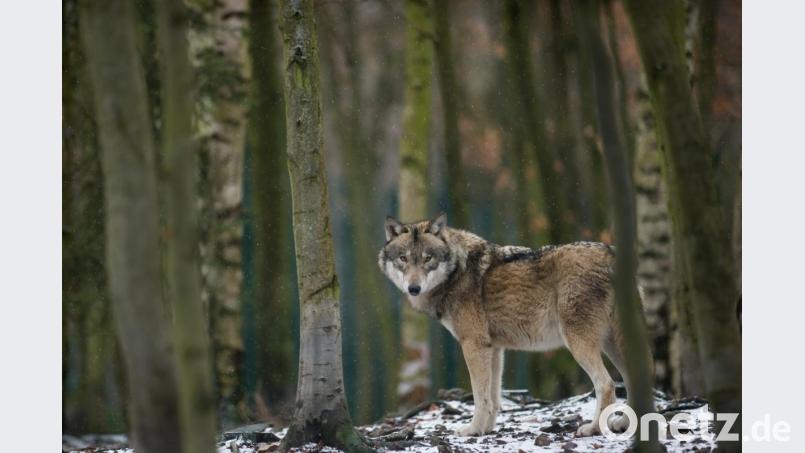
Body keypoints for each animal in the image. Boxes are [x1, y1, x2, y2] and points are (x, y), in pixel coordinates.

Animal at [378, 213, 651, 437]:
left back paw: (594, 428)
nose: (414, 288)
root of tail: (612, 255)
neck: (456, 273)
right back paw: (627, 425)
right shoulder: (494, 349)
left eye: (427, 259)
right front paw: (486, 430)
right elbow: (493, 398)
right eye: (403, 258)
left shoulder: (473, 345)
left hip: (579, 343)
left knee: (606, 385)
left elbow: (479, 396)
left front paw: (472, 430)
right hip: (612, 344)